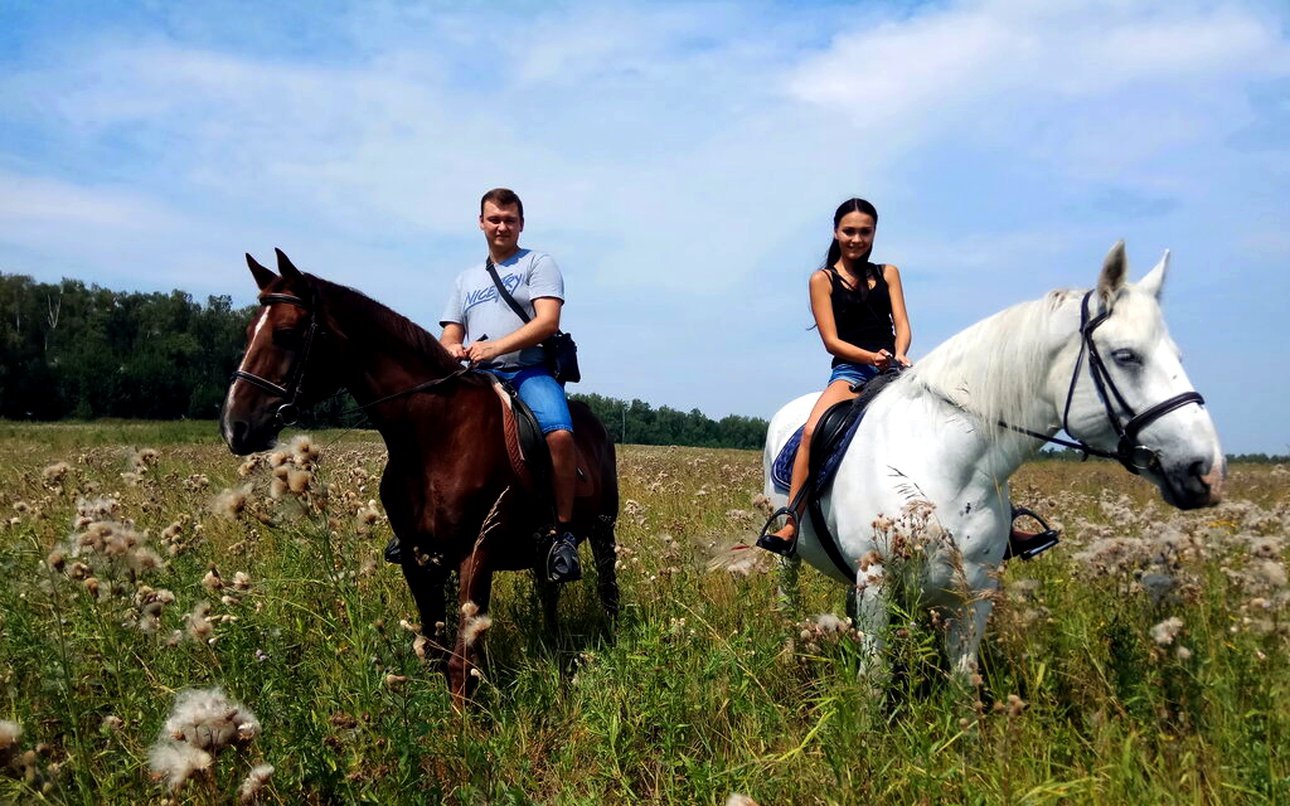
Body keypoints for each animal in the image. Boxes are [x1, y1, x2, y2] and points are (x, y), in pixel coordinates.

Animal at [220, 248, 619, 701]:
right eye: (249, 330)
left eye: (286, 333)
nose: (235, 427)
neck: (432, 435)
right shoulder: (417, 555)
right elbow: (433, 648)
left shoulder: (476, 552)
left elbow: (461, 660)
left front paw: (464, 718)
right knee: (549, 594)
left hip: (603, 530)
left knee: (607, 589)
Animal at [758, 242, 1222, 680]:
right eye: (1126, 356)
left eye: (1178, 356)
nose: (1207, 471)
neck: (942, 466)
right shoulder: (876, 580)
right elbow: (875, 678)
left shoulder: (975, 593)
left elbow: (964, 682)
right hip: (789, 560)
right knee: (787, 599)